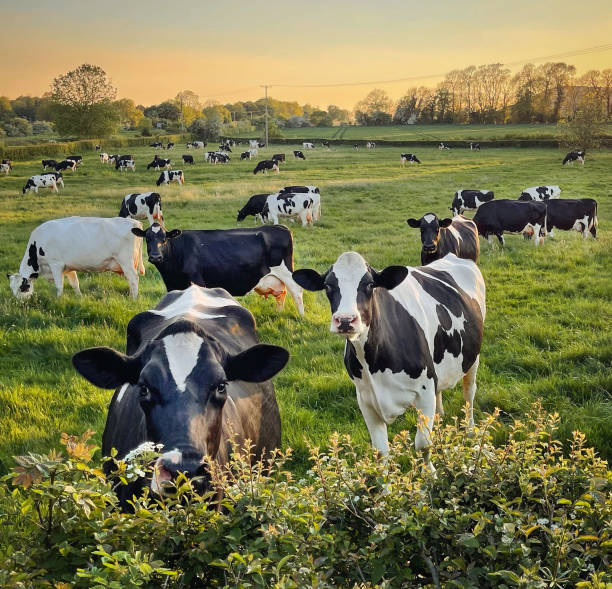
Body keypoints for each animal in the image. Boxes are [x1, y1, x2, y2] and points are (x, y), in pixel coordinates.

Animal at [7, 216, 146, 298]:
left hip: (125, 261)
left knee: (133, 279)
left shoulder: (56, 264)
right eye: (12, 288)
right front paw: (80, 297)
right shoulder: (69, 267)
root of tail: (135, 222)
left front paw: (58, 300)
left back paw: (133, 298)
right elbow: (75, 284)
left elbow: (59, 285)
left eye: (22, 288)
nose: (19, 304)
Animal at [135, 220, 304, 314]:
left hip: (286, 273)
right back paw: (279, 313)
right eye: (147, 238)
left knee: (296, 292)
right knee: (281, 294)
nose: (155, 256)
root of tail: (280, 227)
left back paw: (301, 316)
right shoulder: (172, 285)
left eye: (164, 239)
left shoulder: (196, 280)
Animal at [294, 250, 486, 462]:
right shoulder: (365, 399)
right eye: (328, 286)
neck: (374, 363)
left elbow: (423, 445)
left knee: (469, 392)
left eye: (370, 285)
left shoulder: (425, 389)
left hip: (473, 357)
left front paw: (431, 471)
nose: (345, 320)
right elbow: (380, 452)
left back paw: (470, 430)